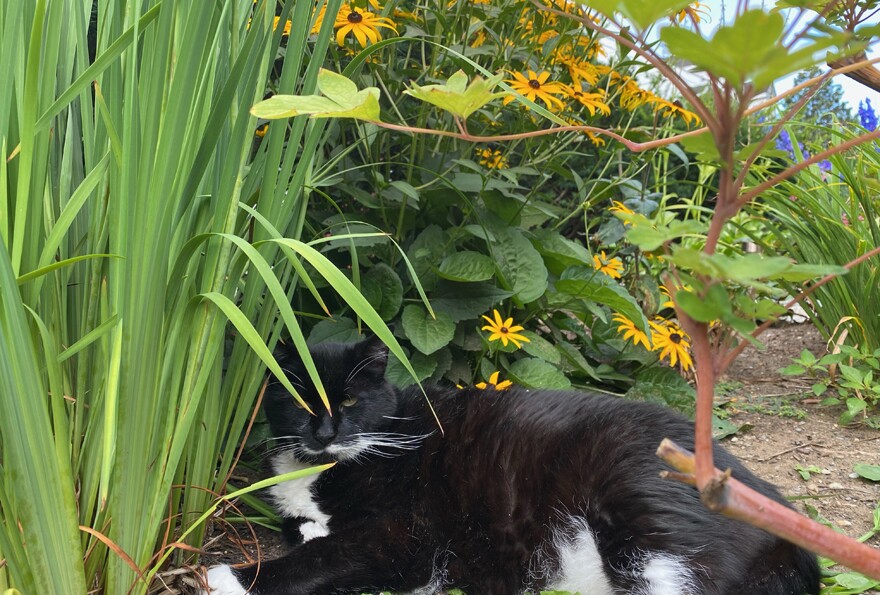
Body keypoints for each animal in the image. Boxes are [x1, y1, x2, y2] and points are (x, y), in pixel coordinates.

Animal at [203, 338, 820, 592]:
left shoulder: (404, 535)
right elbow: (309, 536)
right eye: (299, 402)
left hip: (646, 508)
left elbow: (325, 555)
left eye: (350, 401)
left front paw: (230, 576)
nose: (325, 432)